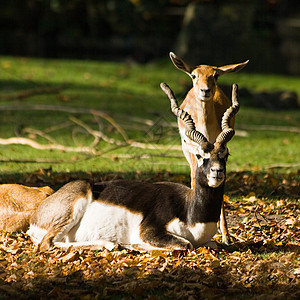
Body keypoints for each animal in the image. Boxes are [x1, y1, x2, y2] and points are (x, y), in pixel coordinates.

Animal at [27, 83, 239, 252]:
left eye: (225, 154)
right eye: (200, 155)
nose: (217, 171)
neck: (191, 212)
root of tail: (36, 216)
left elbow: (213, 243)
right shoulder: (150, 231)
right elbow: (185, 244)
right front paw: (136, 244)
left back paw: (110, 244)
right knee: (46, 244)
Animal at [169, 51, 248, 244]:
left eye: (215, 75)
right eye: (193, 75)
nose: (205, 90)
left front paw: (226, 236)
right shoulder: (192, 152)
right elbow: (194, 179)